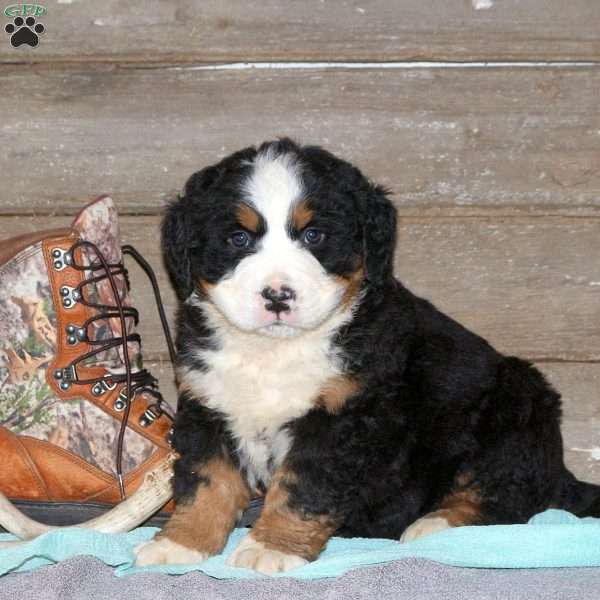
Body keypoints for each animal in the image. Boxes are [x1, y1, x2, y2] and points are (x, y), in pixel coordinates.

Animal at [136, 138, 600, 576]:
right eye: (238, 239)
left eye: (314, 235)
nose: (277, 296)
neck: (276, 349)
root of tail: (559, 467)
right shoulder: (209, 403)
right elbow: (206, 482)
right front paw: (181, 544)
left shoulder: (341, 419)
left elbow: (300, 488)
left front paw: (272, 547)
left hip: (515, 405)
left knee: (509, 496)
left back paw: (435, 525)